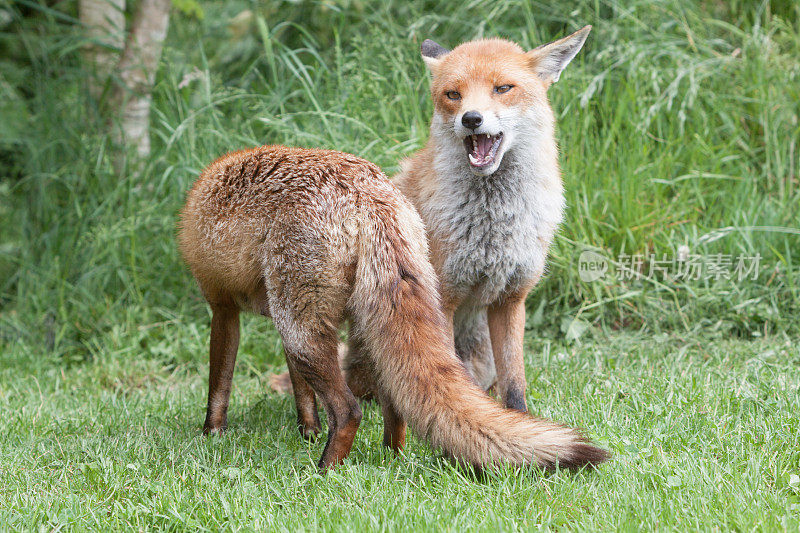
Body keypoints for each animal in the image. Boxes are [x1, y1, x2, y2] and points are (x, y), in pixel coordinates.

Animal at [180, 145, 608, 470]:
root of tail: (368, 190)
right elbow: (303, 396)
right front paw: (307, 430)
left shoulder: (222, 306)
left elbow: (218, 385)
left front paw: (211, 434)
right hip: (358, 325)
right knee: (397, 405)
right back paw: (391, 457)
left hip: (304, 332)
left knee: (350, 410)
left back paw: (324, 472)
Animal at [340, 26, 592, 412]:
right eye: (453, 94)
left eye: (502, 88)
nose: (471, 118)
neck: (493, 224)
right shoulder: (444, 296)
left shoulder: (511, 298)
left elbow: (515, 383)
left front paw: (518, 418)